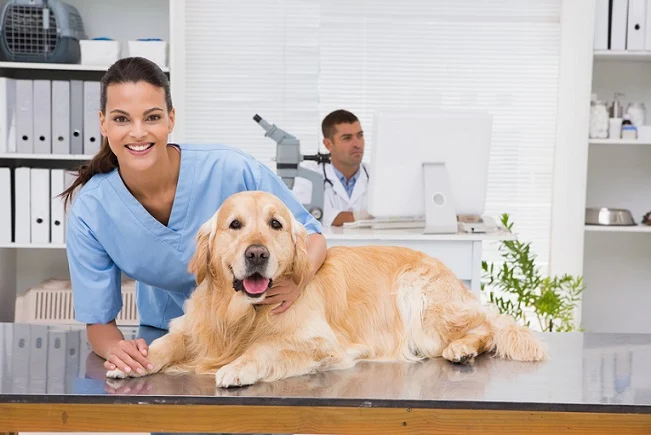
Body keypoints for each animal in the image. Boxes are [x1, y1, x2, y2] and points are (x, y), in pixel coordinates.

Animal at [105, 192, 544, 388]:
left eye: (276, 224)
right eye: (235, 225)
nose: (257, 254)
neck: (244, 313)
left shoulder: (319, 341)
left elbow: (265, 348)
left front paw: (238, 366)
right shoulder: (195, 328)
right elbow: (166, 344)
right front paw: (133, 360)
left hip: (418, 294)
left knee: (485, 329)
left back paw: (462, 349)